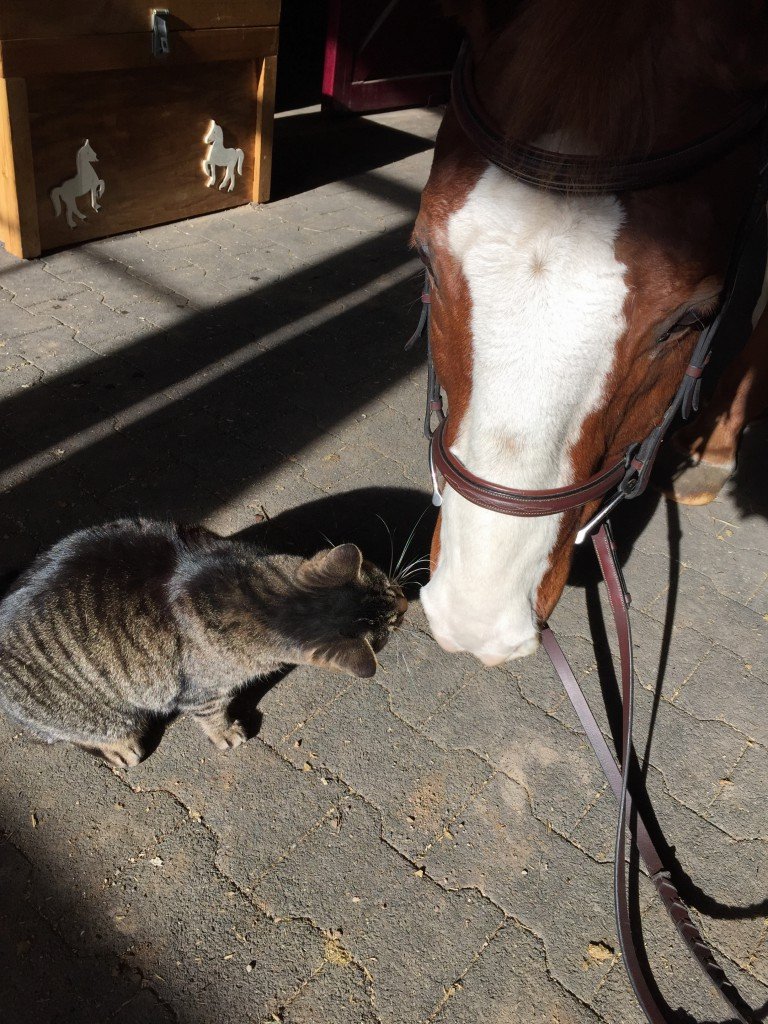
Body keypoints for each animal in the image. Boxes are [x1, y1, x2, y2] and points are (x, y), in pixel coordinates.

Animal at [0, 520, 409, 770]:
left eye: (390, 586)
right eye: (390, 627)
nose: (407, 604)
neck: (261, 600)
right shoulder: (203, 692)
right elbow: (212, 715)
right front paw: (225, 733)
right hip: (102, 713)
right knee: (77, 735)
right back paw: (121, 748)